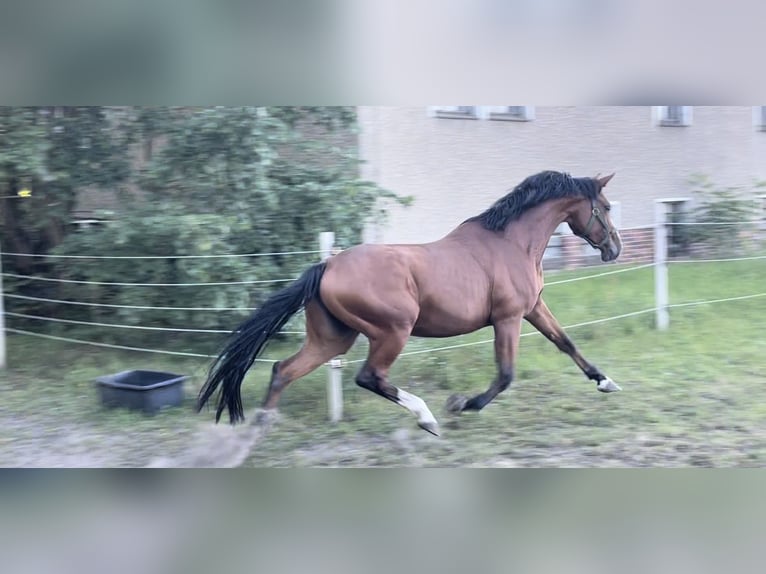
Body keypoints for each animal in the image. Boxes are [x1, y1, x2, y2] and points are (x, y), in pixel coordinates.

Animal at [196, 171, 624, 436]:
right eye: (605, 206)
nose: (614, 249)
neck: (511, 243)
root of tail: (326, 264)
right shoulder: (508, 317)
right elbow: (505, 375)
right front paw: (461, 404)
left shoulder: (532, 309)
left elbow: (565, 342)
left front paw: (606, 382)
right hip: (392, 331)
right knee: (369, 377)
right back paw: (427, 417)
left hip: (332, 339)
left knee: (282, 370)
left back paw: (261, 427)